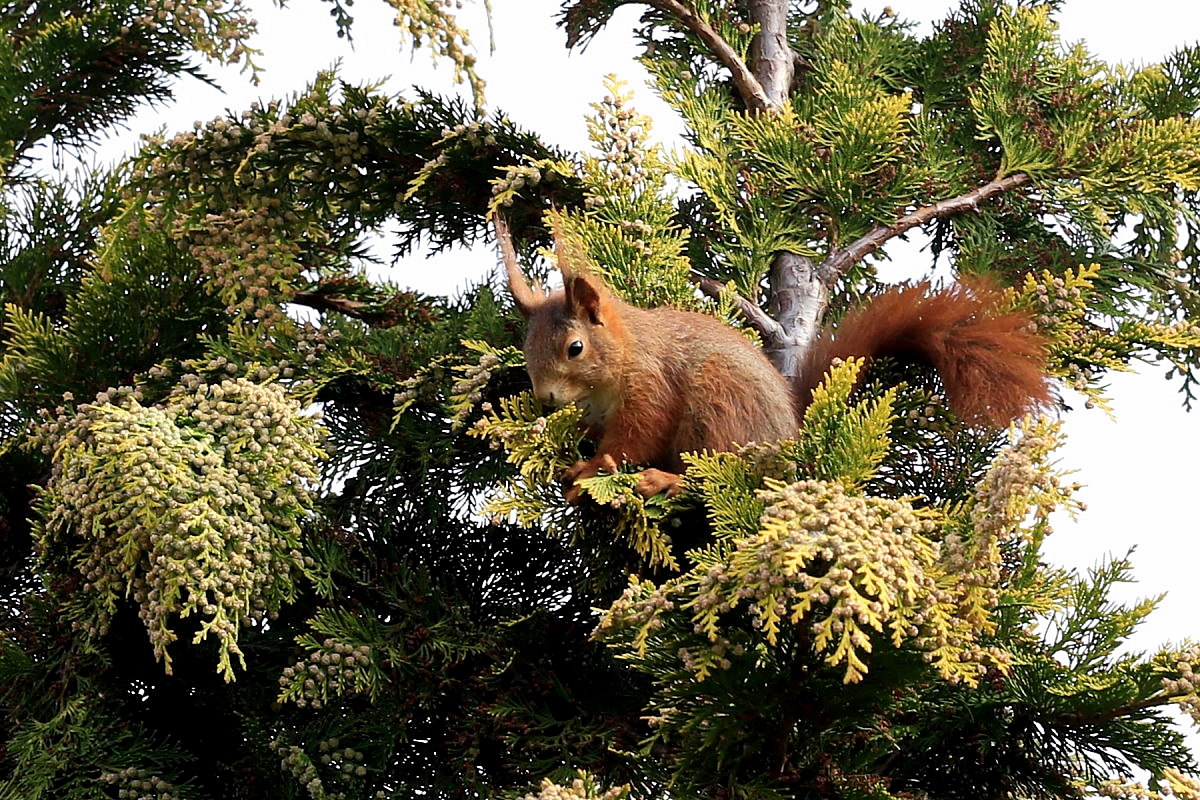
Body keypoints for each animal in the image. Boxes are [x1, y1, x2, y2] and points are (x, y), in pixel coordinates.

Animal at [492, 214, 1046, 501]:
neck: (623, 356)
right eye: (527, 349)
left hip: (720, 405)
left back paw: (666, 480)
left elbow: (633, 438)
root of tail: (790, 438)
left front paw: (592, 468)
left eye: (575, 348)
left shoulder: (651, 387)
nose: (544, 399)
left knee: (720, 472)